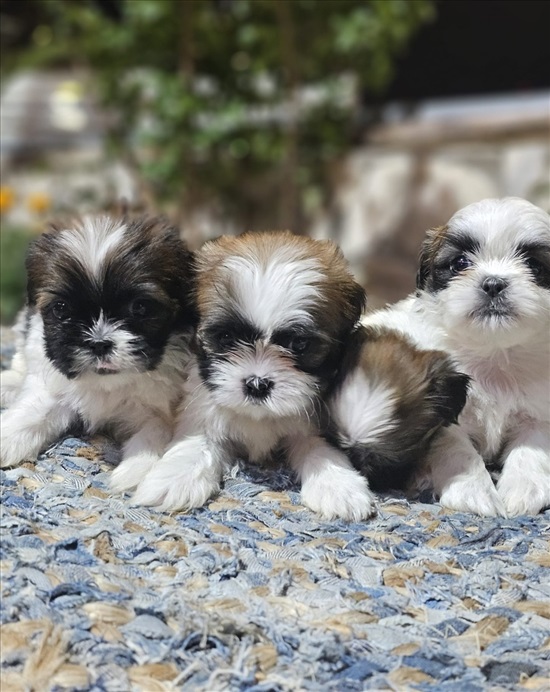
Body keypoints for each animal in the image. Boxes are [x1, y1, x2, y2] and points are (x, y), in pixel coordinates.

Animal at [0, 215, 198, 482]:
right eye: (61, 309)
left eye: (140, 307)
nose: (99, 343)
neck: (107, 384)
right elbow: (34, 411)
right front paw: (7, 436)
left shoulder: (161, 408)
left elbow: (156, 429)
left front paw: (135, 470)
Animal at [133, 231, 380, 520]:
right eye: (226, 337)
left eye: (298, 344)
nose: (257, 384)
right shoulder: (204, 410)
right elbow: (197, 441)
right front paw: (176, 477)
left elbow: (319, 447)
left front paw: (337, 484)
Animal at [366, 197, 550, 516]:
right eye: (461, 264)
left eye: (535, 266)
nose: (493, 283)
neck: (495, 353)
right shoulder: (445, 414)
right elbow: (459, 451)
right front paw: (474, 491)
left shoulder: (539, 413)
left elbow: (532, 448)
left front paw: (523, 490)